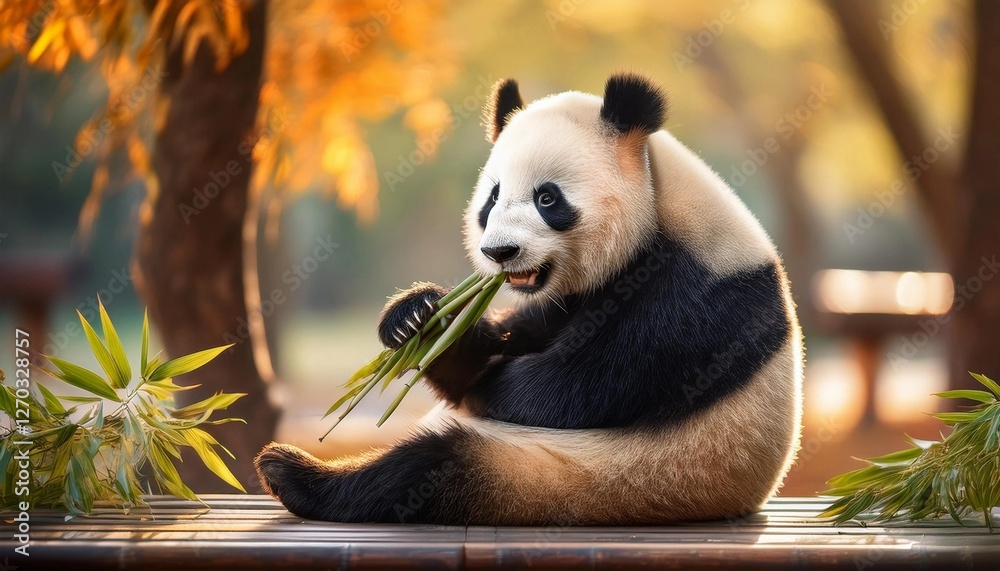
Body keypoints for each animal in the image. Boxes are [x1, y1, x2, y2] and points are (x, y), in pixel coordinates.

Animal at [255, 73, 803, 526]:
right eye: (492, 197)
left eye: (547, 198)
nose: (500, 252)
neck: (660, 203)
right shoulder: (567, 301)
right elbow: (500, 343)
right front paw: (420, 320)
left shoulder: (696, 299)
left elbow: (577, 386)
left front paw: (491, 386)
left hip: (574, 478)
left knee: (426, 470)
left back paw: (294, 473)